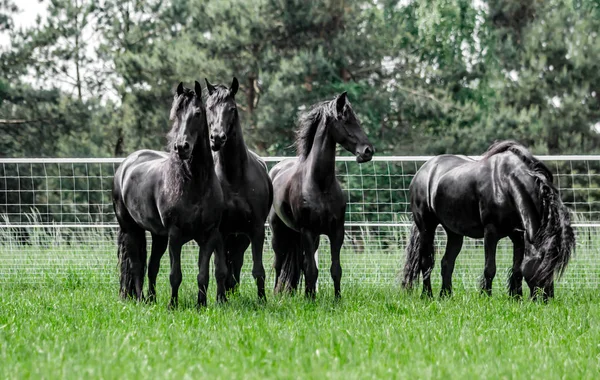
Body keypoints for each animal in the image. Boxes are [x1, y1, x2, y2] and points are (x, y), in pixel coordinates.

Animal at [111, 81, 226, 308]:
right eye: (176, 114)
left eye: (198, 113)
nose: (182, 147)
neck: (195, 184)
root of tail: (126, 165)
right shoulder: (175, 235)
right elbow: (175, 275)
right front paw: (173, 305)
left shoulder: (208, 236)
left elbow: (203, 275)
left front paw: (201, 305)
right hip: (132, 230)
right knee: (137, 266)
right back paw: (140, 299)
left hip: (158, 236)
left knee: (152, 266)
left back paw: (151, 299)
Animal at [205, 77, 274, 300]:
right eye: (209, 107)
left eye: (232, 108)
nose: (217, 138)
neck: (234, 178)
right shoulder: (219, 232)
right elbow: (220, 269)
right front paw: (220, 300)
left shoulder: (256, 230)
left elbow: (258, 270)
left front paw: (262, 300)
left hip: (241, 238)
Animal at [268, 93, 372, 300]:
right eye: (345, 120)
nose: (367, 151)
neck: (320, 185)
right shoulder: (308, 232)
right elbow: (312, 270)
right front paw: (311, 300)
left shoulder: (336, 232)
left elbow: (335, 269)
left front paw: (336, 299)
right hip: (279, 233)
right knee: (279, 264)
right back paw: (277, 294)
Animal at [400, 140, 576, 300]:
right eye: (543, 265)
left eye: (555, 267)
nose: (547, 299)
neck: (506, 184)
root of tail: (424, 169)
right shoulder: (491, 232)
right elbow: (490, 268)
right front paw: (486, 296)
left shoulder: (518, 235)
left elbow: (517, 268)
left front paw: (516, 298)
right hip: (426, 227)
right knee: (426, 262)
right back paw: (427, 295)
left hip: (454, 233)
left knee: (447, 263)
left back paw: (446, 296)